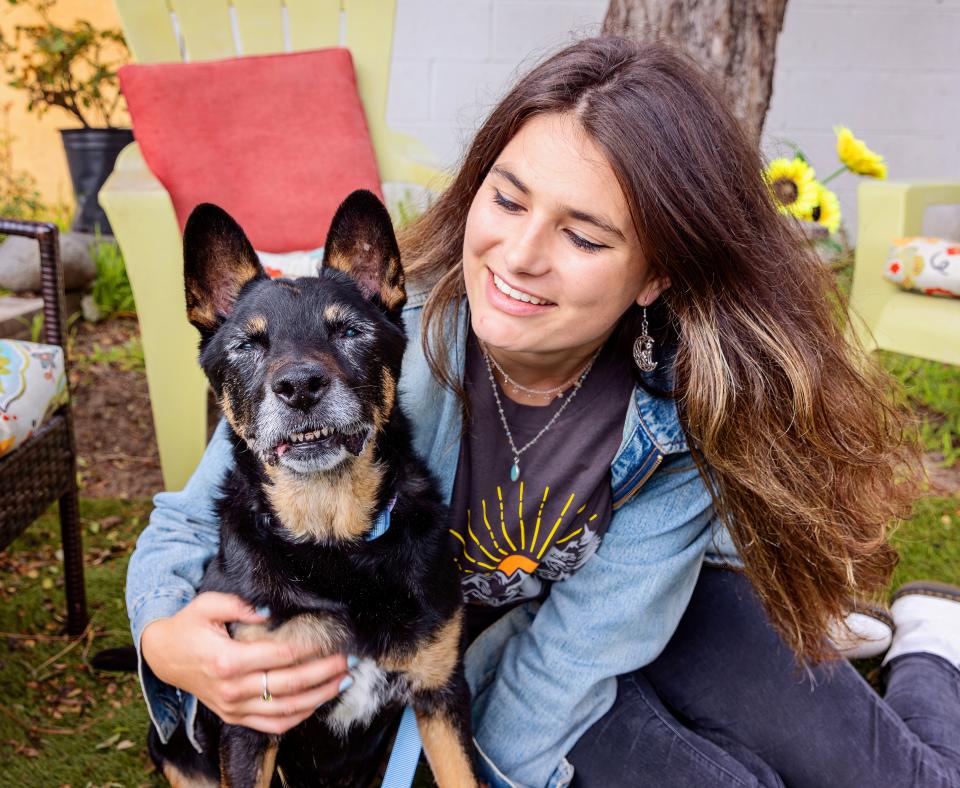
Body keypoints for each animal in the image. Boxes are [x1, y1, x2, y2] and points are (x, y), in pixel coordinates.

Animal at [149, 191, 476, 788]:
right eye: (247, 344)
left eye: (349, 332)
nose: (300, 386)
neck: (334, 546)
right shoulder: (251, 722)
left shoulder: (441, 692)